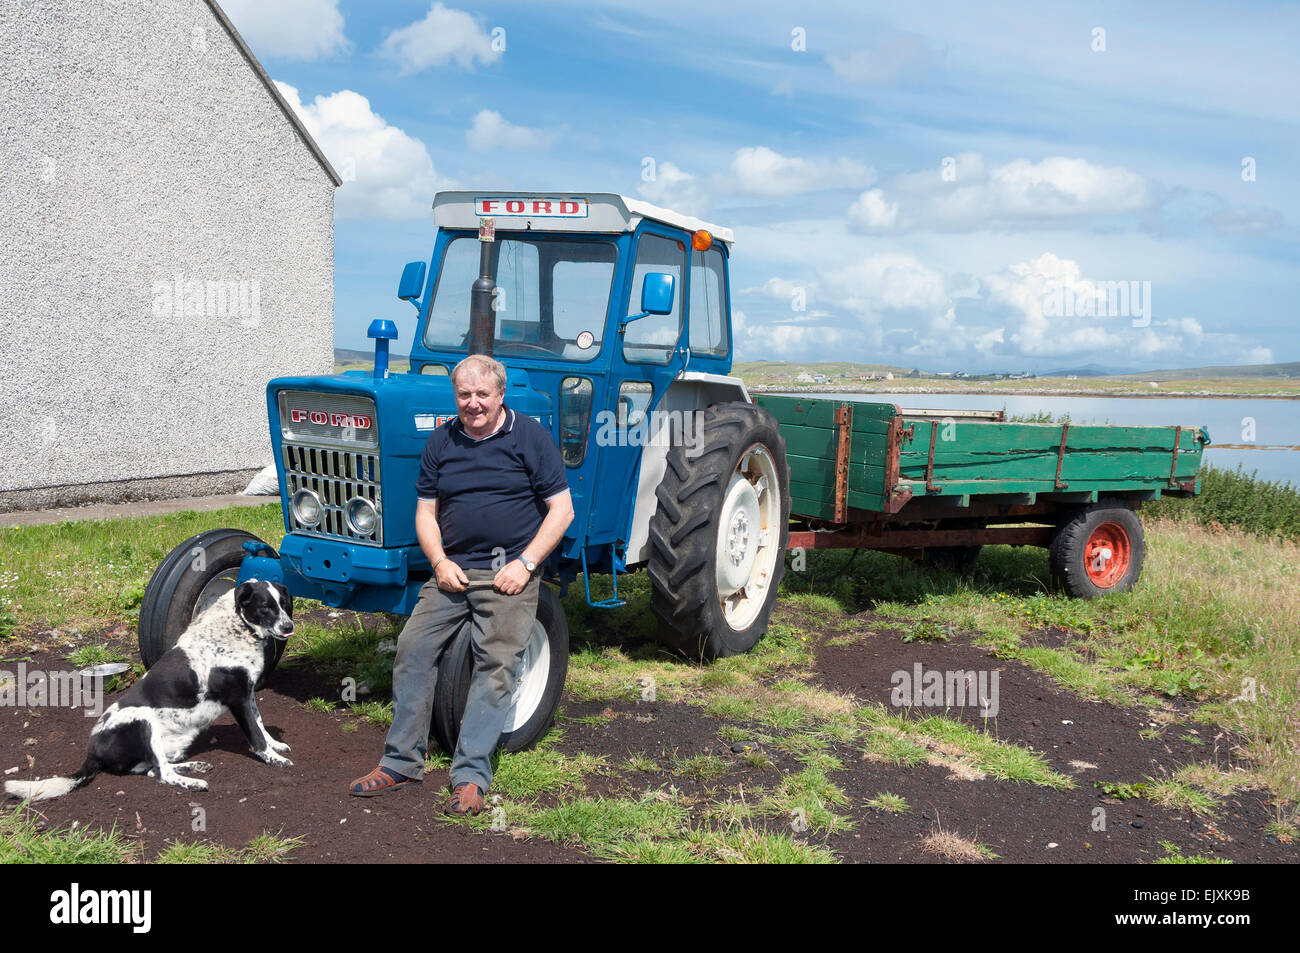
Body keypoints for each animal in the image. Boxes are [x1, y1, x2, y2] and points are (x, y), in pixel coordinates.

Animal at [5, 577, 295, 800]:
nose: (289, 626)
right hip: (142, 719)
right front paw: (272, 759)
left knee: (153, 768)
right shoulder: (237, 698)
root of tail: (92, 753)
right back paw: (193, 783)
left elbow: (260, 724)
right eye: (265, 607)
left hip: (172, 745)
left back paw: (195, 766)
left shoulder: (248, 693)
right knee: (162, 774)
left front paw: (275, 745)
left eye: (284, 604)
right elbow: (256, 737)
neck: (238, 627)